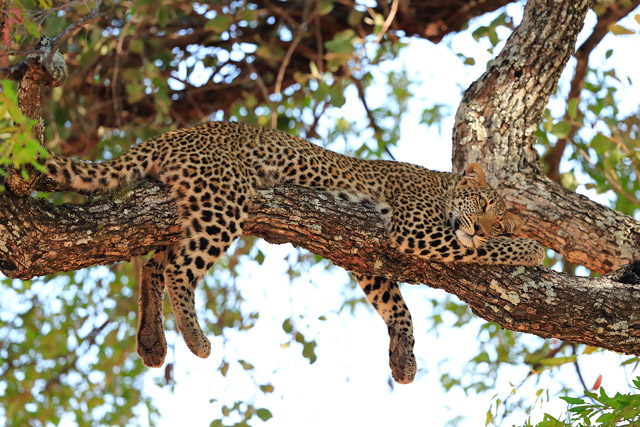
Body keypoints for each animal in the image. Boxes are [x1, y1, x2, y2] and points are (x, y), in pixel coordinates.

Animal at [44, 121, 545, 384]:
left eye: (497, 217)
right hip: (224, 200)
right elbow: (487, 251)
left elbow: (396, 306)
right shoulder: (413, 228)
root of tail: (175, 133)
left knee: (153, 265)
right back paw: (195, 338)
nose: (482, 231)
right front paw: (531, 249)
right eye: (484, 207)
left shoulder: (370, 256)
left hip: (191, 207)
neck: (441, 186)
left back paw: (151, 340)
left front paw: (403, 357)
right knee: (180, 270)